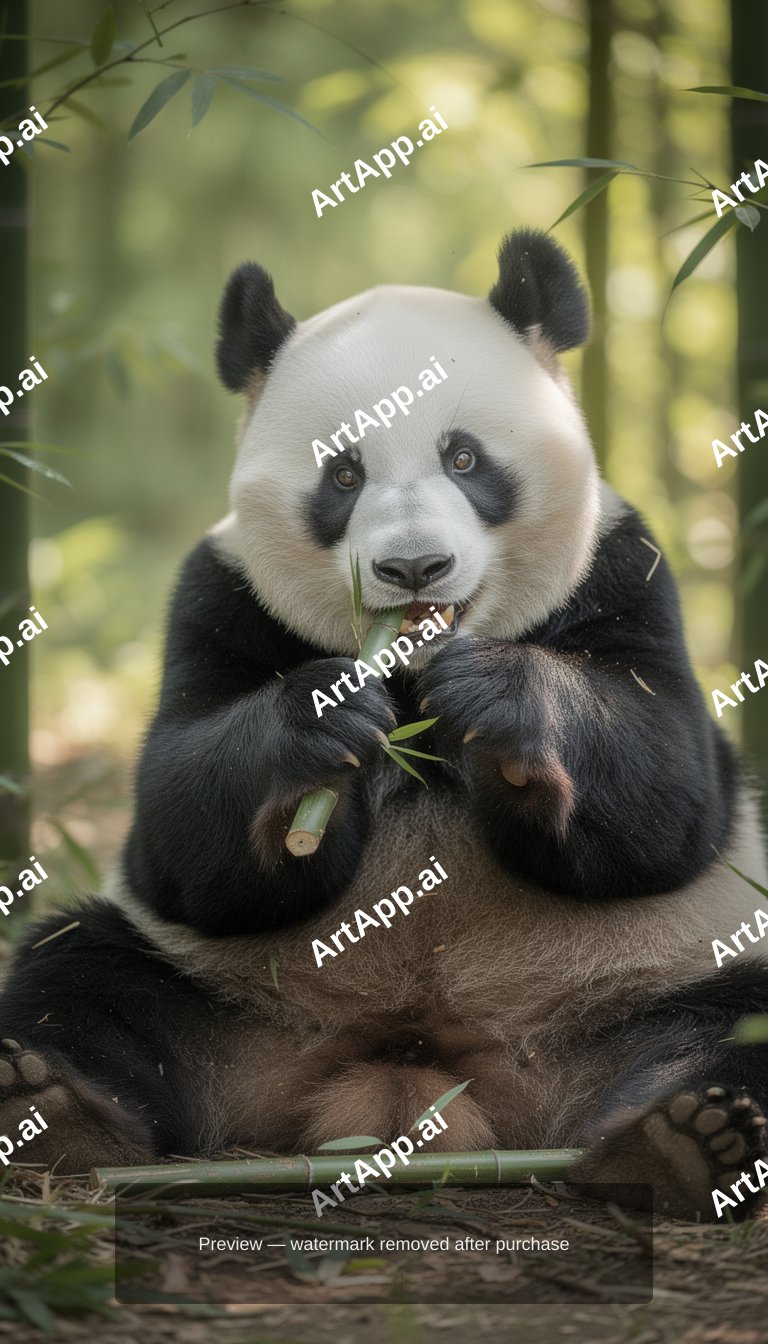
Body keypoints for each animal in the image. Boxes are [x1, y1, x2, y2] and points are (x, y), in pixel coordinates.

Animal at [1, 229, 768, 1220]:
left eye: (465, 460)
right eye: (344, 472)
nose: (413, 568)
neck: (407, 675)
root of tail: (406, 1087)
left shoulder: (625, 568)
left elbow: (670, 796)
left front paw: (499, 698)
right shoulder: (218, 597)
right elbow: (180, 840)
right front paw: (319, 724)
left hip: (650, 975)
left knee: (735, 1019)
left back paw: (684, 1142)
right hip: (218, 996)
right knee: (79, 972)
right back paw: (50, 1111)